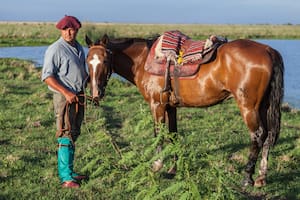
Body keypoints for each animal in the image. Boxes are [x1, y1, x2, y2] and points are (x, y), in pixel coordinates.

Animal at [84, 32, 284, 188]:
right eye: (87, 61)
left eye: (105, 60)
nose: (95, 93)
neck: (143, 60)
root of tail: (269, 51)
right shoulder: (171, 107)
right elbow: (173, 135)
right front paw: (173, 168)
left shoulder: (157, 105)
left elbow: (158, 135)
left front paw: (157, 166)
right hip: (264, 106)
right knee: (268, 135)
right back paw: (261, 177)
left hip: (248, 107)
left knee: (257, 135)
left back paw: (247, 177)